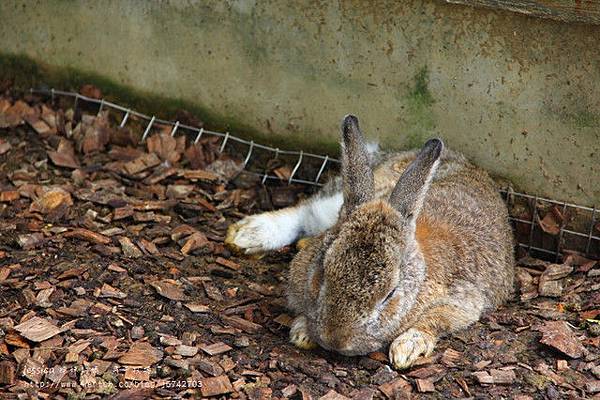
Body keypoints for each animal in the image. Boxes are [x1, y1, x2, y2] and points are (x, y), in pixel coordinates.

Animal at [227, 115, 512, 368]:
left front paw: (406, 349)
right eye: (321, 273)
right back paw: (248, 234)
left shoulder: (463, 301)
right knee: (305, 211)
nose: (335, 340)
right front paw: (303, 331)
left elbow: (434, 321)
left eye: (390, 295)